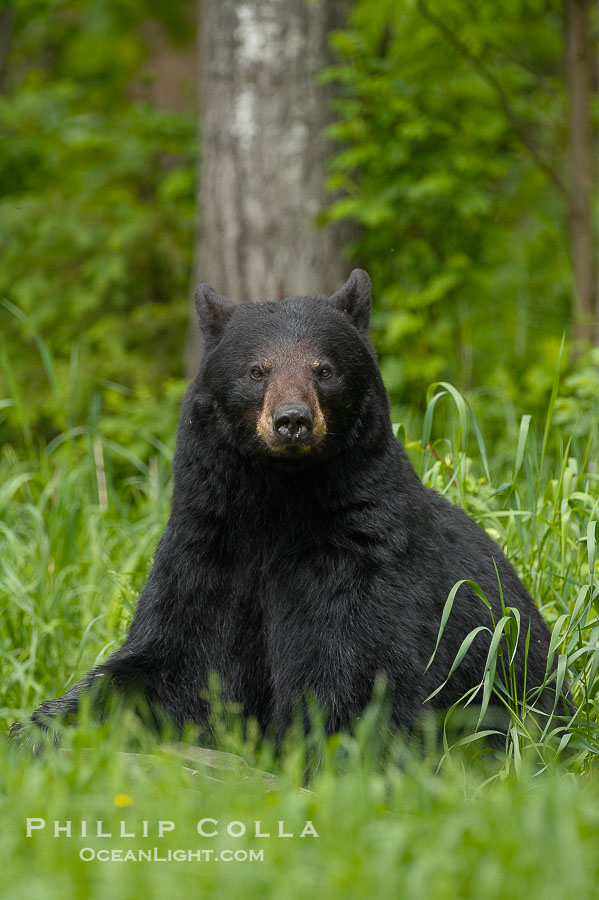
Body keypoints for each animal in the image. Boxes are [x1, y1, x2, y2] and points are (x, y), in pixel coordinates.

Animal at [13, 269, 561, 747]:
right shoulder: (208, 549)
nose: (292, 419)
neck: (276, 502)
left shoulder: (360, 556)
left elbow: (355, 669)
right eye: (258, 370)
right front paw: (41, 728)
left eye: (324, 369)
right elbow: (171, 658)